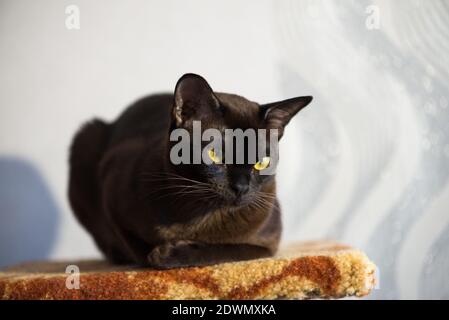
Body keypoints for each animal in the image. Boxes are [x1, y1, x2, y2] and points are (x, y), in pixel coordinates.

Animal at [67, 73, 312, 268]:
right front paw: (157, 254)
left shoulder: (267, 246)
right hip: (86, 138)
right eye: (215, 154)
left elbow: (227, 250)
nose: (241, 187)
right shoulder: (111, 190)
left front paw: (168, 253)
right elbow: (137, 247)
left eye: (262, 162)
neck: (203, 218)